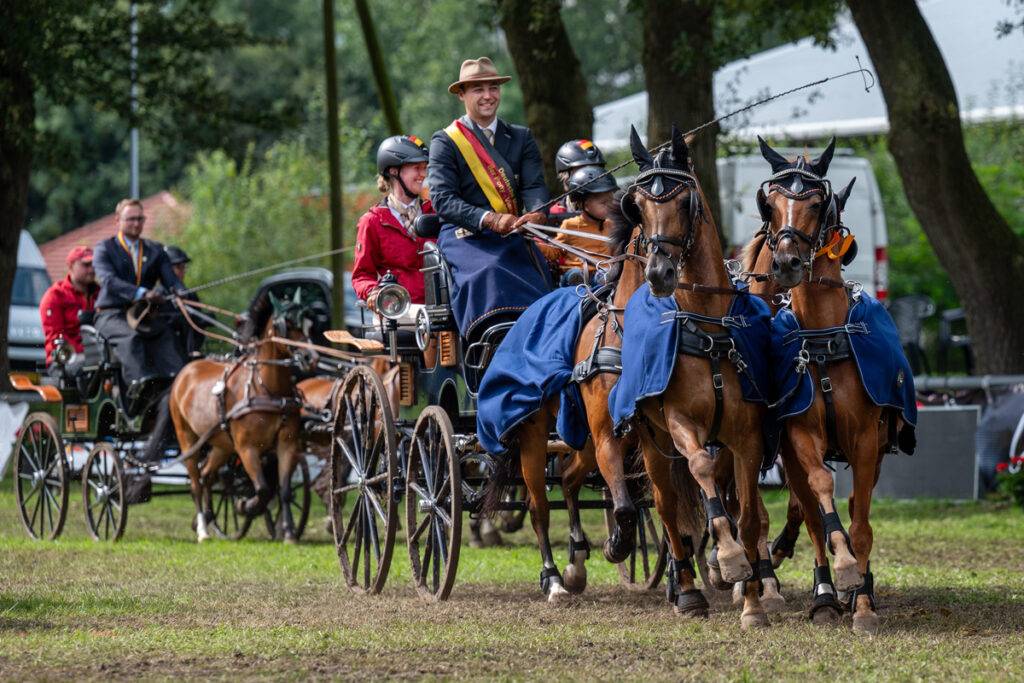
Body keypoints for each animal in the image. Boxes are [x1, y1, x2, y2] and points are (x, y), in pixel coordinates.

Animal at [165, 294, 311, 544]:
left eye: (307, 323)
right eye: (286, 325)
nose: (310, 356)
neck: (267, 389)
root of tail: (187, 369)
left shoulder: (287, 444)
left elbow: (284, 490)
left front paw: (290, 533)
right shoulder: (246, 448)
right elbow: (262, 488)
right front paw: (247, 506)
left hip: (221, 445)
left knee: (207, 476)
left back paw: (207, 517)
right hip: (188, 439)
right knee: (195, 482)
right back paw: (203, 529)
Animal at [622, 124, 774, 630]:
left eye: (685, 201)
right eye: (637, 205)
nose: (659, 273)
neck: (708, 330)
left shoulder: (746, 438)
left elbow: (748, 515)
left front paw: (752, 601)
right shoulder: (680, 424)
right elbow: (702, 473)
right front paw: (728, 558)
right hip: (651, 442)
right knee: (667, 508)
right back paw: (686, 590)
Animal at [749, 136, 909, 634]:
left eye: (817, 203)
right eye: (770, 204)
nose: (786, 262)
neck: (821, 338)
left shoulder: (865, 440)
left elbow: (861, 522)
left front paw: (863, 599)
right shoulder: (801, 436)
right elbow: (821, 496)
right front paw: (839, 570)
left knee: (858, 504)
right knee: (810, 509)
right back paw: (823, 592)